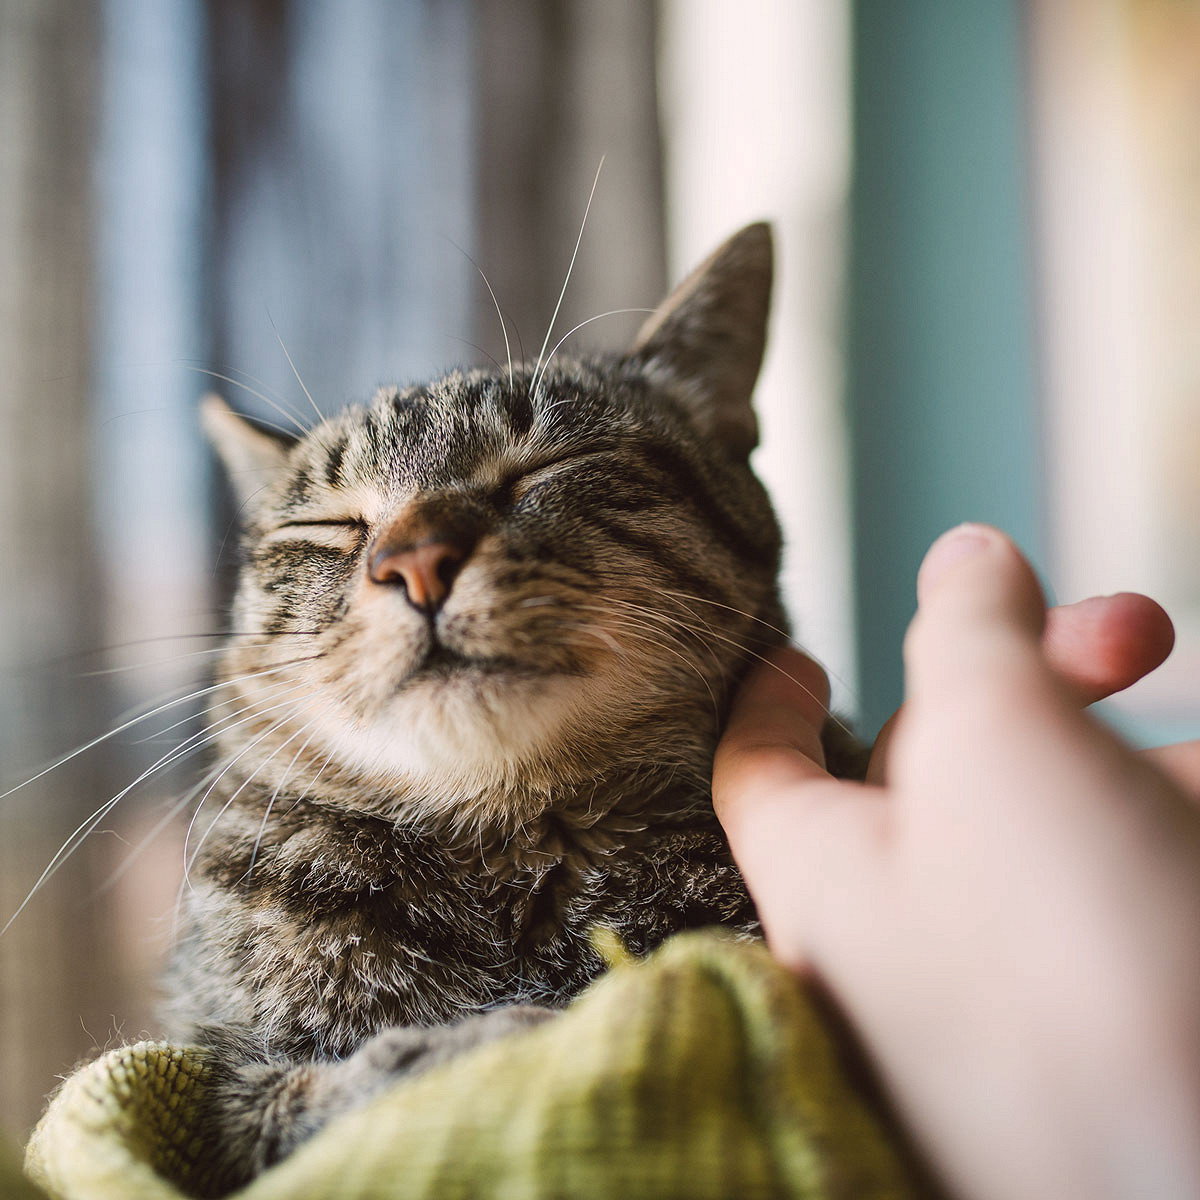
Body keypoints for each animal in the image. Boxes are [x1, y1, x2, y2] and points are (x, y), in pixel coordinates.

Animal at [166, 225, 854, 1190]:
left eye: (547, 467)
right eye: (331, 527)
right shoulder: (222, 1090)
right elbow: (337, 1096)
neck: (513, 845)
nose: (414, 560)